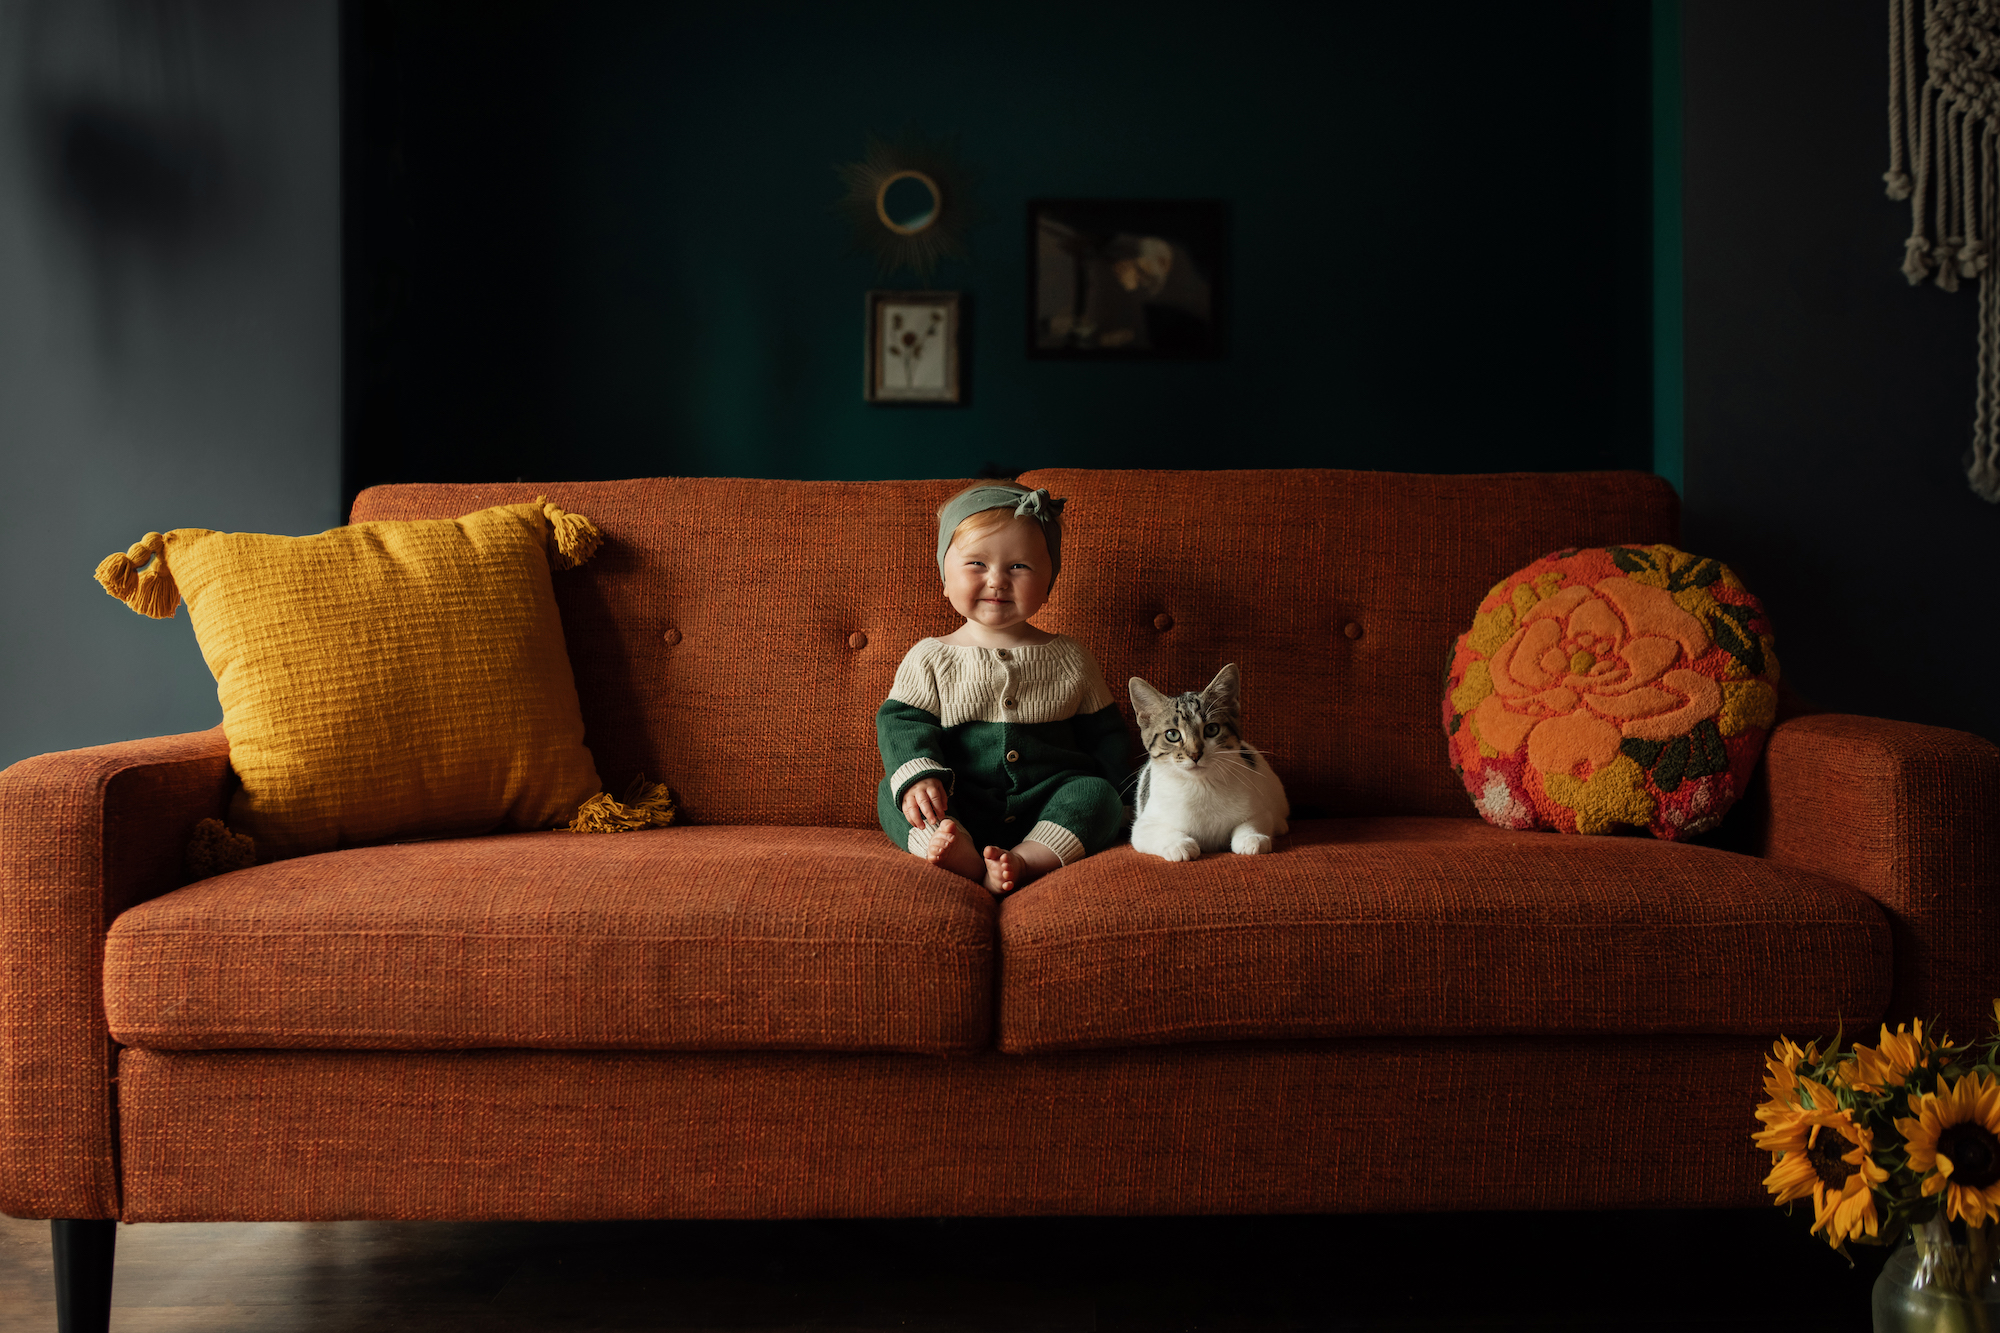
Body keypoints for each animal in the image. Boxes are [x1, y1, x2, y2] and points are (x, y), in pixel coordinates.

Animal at [1136, 664, 1288, 860]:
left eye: (1212, 729)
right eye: (1172, 734)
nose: (1195, 754)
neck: (1200, 785)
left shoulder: (1259, 809)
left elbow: (1254, 820)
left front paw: (1251, 838)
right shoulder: (1143, 825)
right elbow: (1156, 831)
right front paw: (1178, 844)